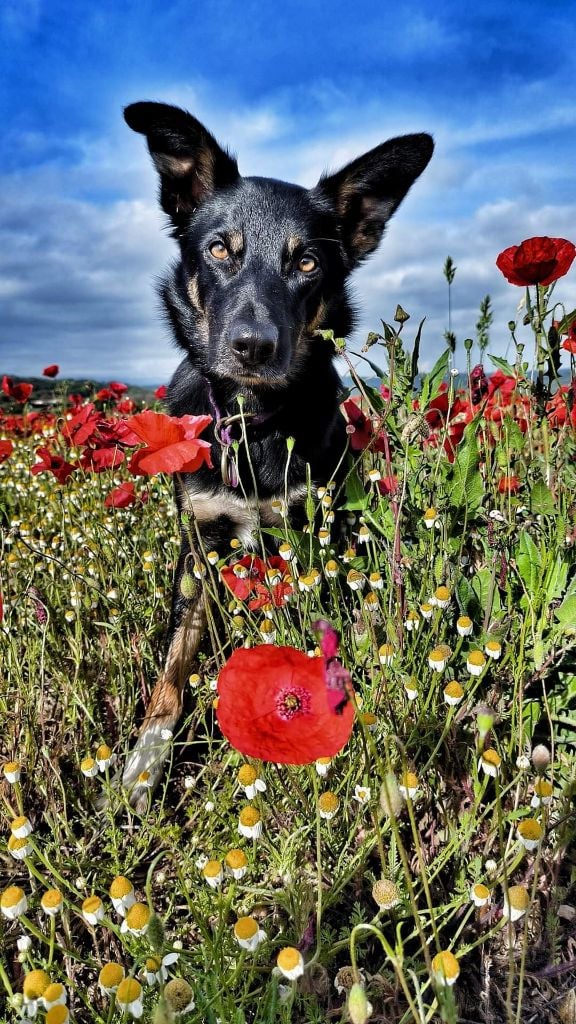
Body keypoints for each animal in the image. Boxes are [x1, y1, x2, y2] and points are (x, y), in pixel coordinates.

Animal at [119, 103, 430, 806]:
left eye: (308, 263)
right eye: (218, 249)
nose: (253, 346)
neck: (253, 421)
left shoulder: (314, 533)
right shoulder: (199, 546)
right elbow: (172, 670)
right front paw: (142, 769)